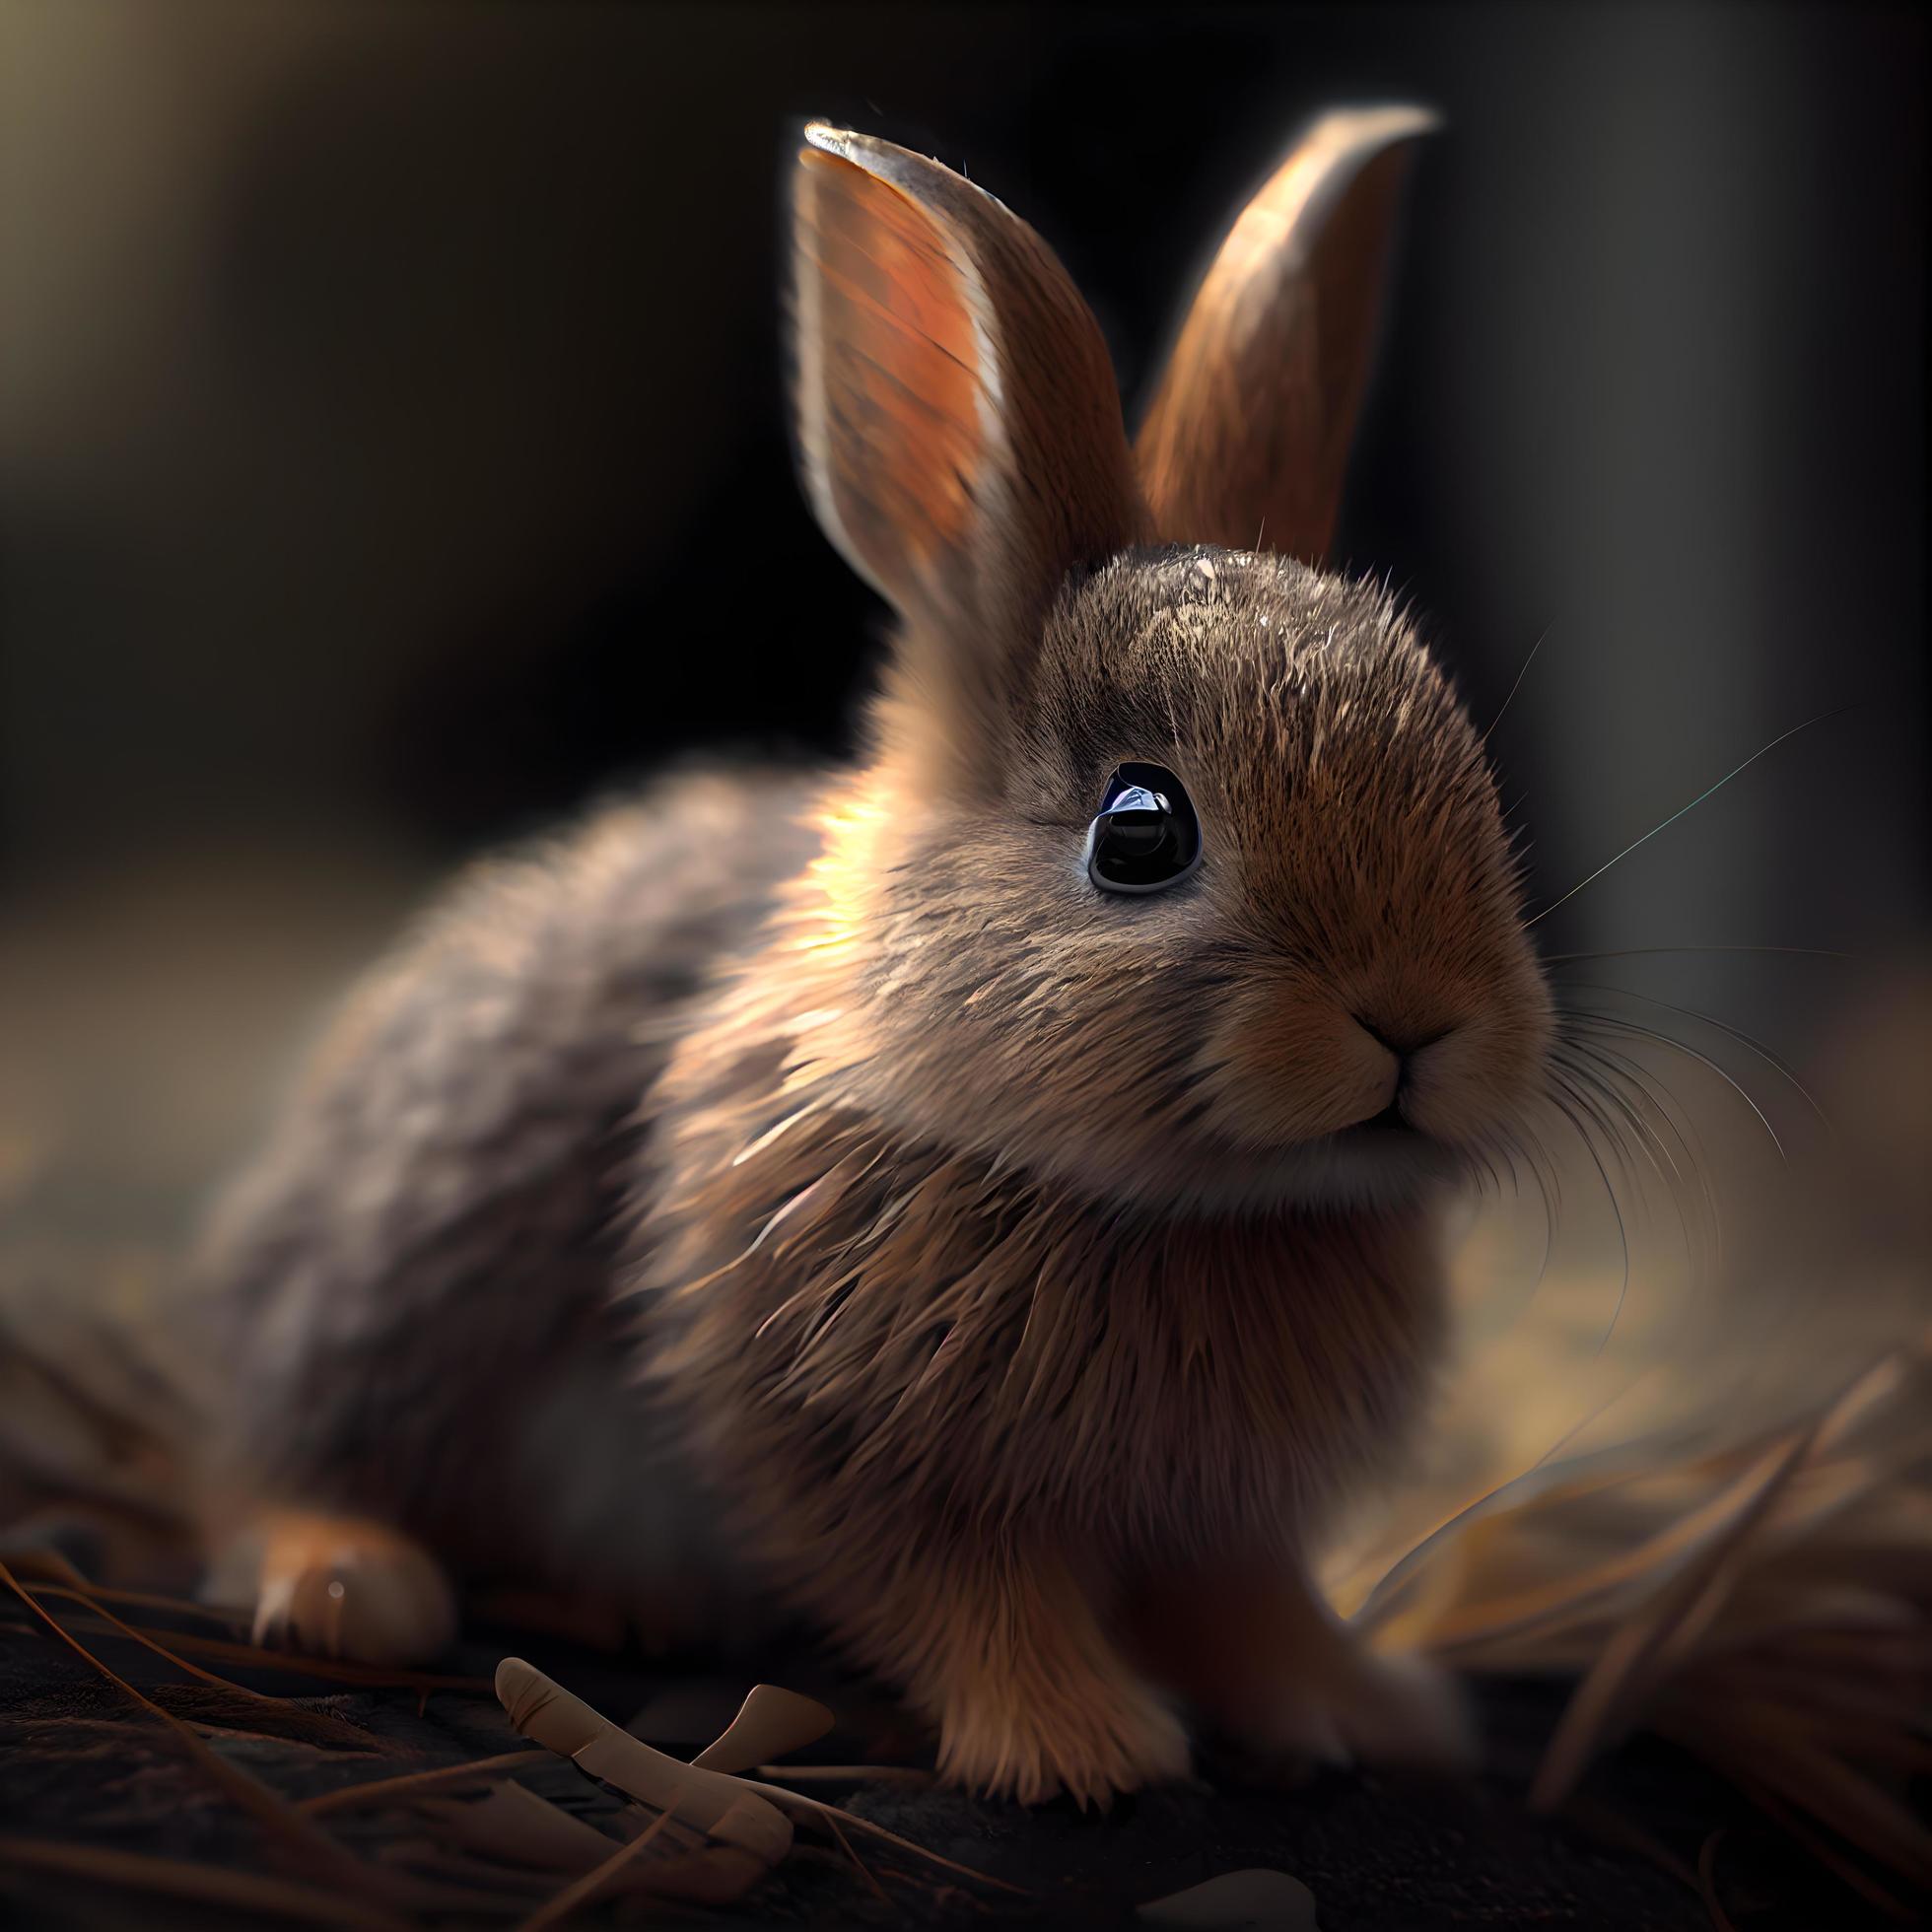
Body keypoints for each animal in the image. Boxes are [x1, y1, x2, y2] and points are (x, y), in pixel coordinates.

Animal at [193, 106, 1555, 1807]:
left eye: (1469, 784)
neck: (1178, 1208)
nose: (1418, 1021)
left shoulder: (1217, 1517)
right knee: (280, 1451)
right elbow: (962, 1591)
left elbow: (1252, 1608)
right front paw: (1080, 1747)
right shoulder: (849, 1439)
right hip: (405, 1289)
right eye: (1141, 833)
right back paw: (349, 1583)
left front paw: (1366, 1715)